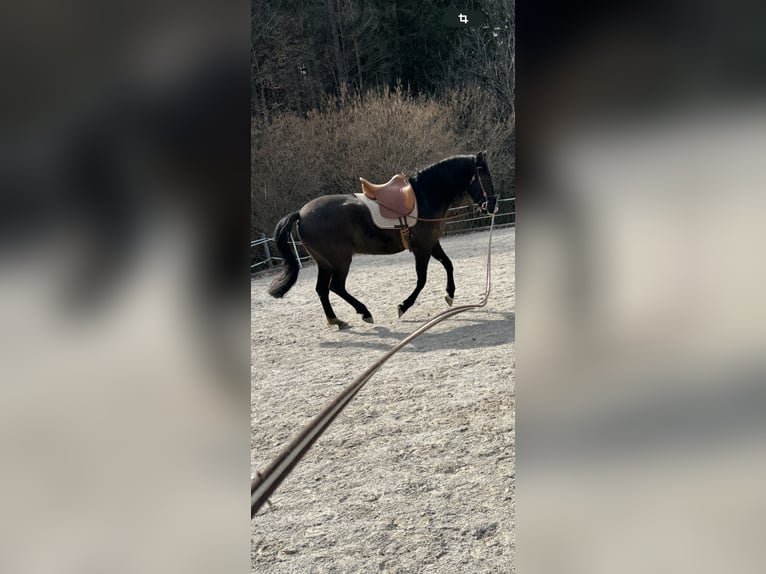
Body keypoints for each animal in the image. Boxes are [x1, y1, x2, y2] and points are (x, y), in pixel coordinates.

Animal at [268, 150, 498, 328]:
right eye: (485, 178)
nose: (493, 206)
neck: (425, 196)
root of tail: (301, 213)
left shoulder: (432, 243)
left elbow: (448, 264)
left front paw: (450, 294)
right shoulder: (422, 248)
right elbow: (422, 280)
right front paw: (403, 306)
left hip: (324, 263)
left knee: (322, 289)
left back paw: (336, 320)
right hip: (340, 260)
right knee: (336, 287)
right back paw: (364, 312)